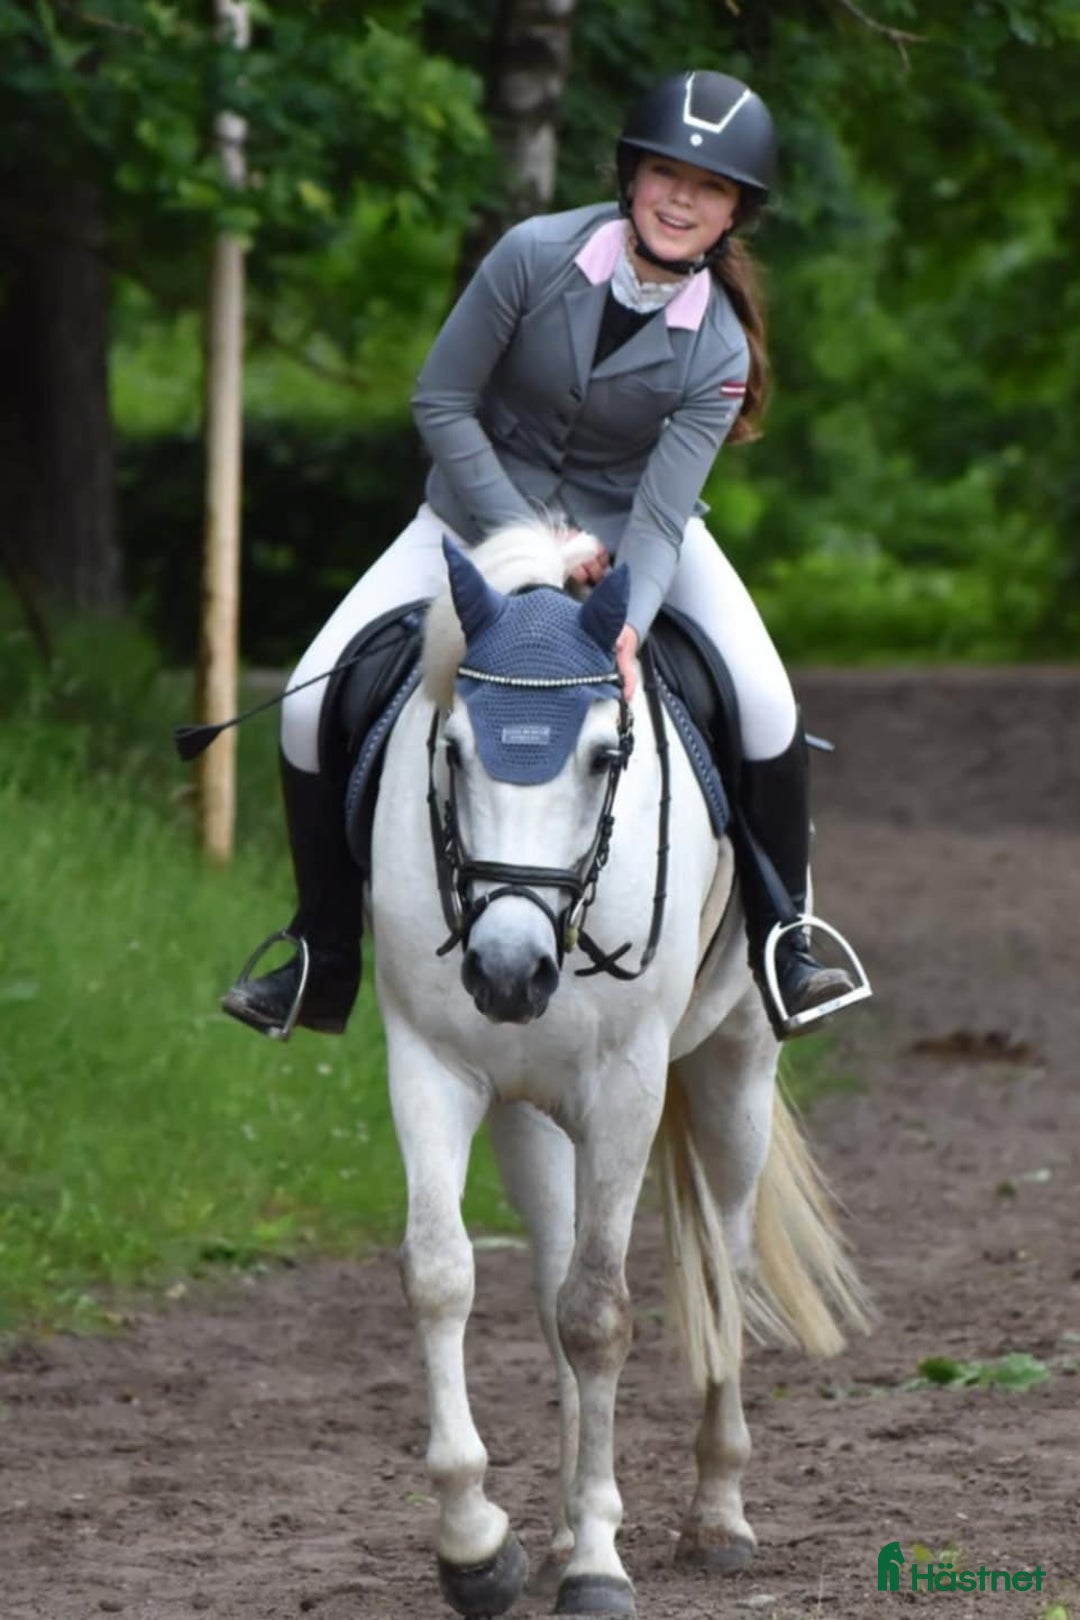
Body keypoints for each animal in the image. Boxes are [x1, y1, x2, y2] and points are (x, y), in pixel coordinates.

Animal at [368, 518, 870, 1618]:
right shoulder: (431, 1066)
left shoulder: (629, 1085)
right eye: (453, 750)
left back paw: (717, 1515)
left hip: (735, 1069)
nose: (507, 971)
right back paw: (557, 1527)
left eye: (605, 756)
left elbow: (600, 1314)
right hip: (529, 1114)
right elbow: (444, 1275)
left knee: (724, 1264)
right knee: (550, 1277)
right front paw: (477, 1546)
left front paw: (600, 1564)